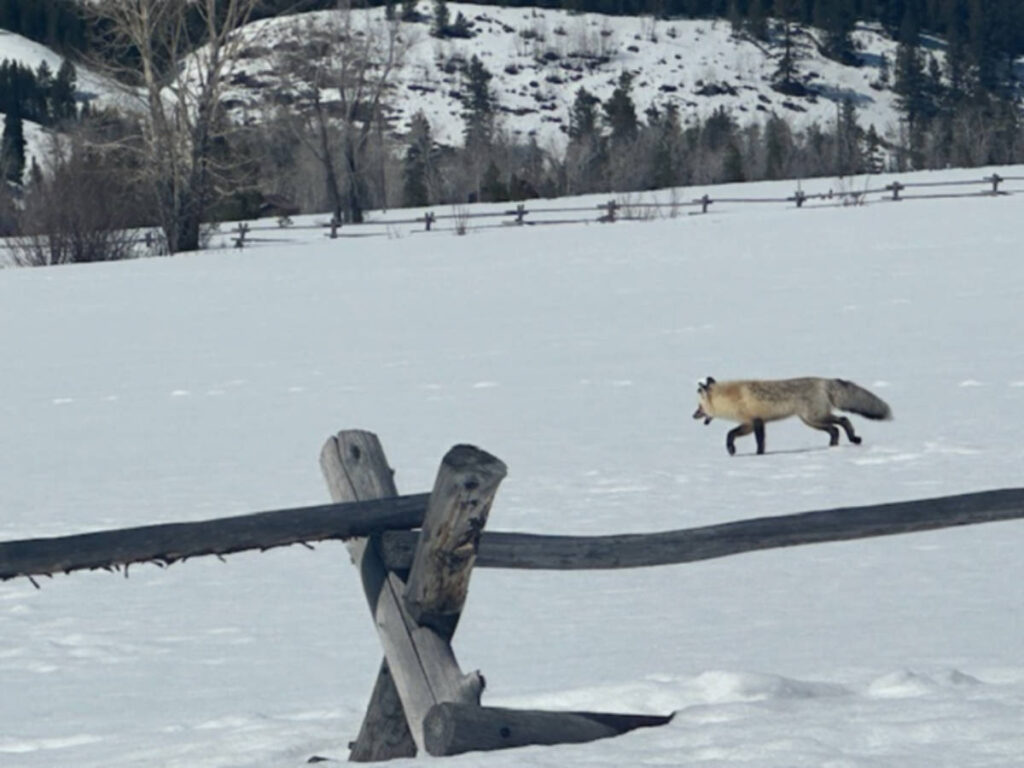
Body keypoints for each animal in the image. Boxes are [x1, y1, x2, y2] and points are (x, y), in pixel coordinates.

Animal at [693, 376, 892, 455]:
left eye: (699, 407)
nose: (692, 416)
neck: (731, 398)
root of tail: (823, 381)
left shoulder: (756, 421)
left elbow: (756, 441)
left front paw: (757, 455)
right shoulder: (750, 423)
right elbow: (732, 434)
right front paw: (733, 449)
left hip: (815, 418)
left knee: (843, 420)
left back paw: (853, 438)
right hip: (811, 421)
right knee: (835, 430)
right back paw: (832, 446)